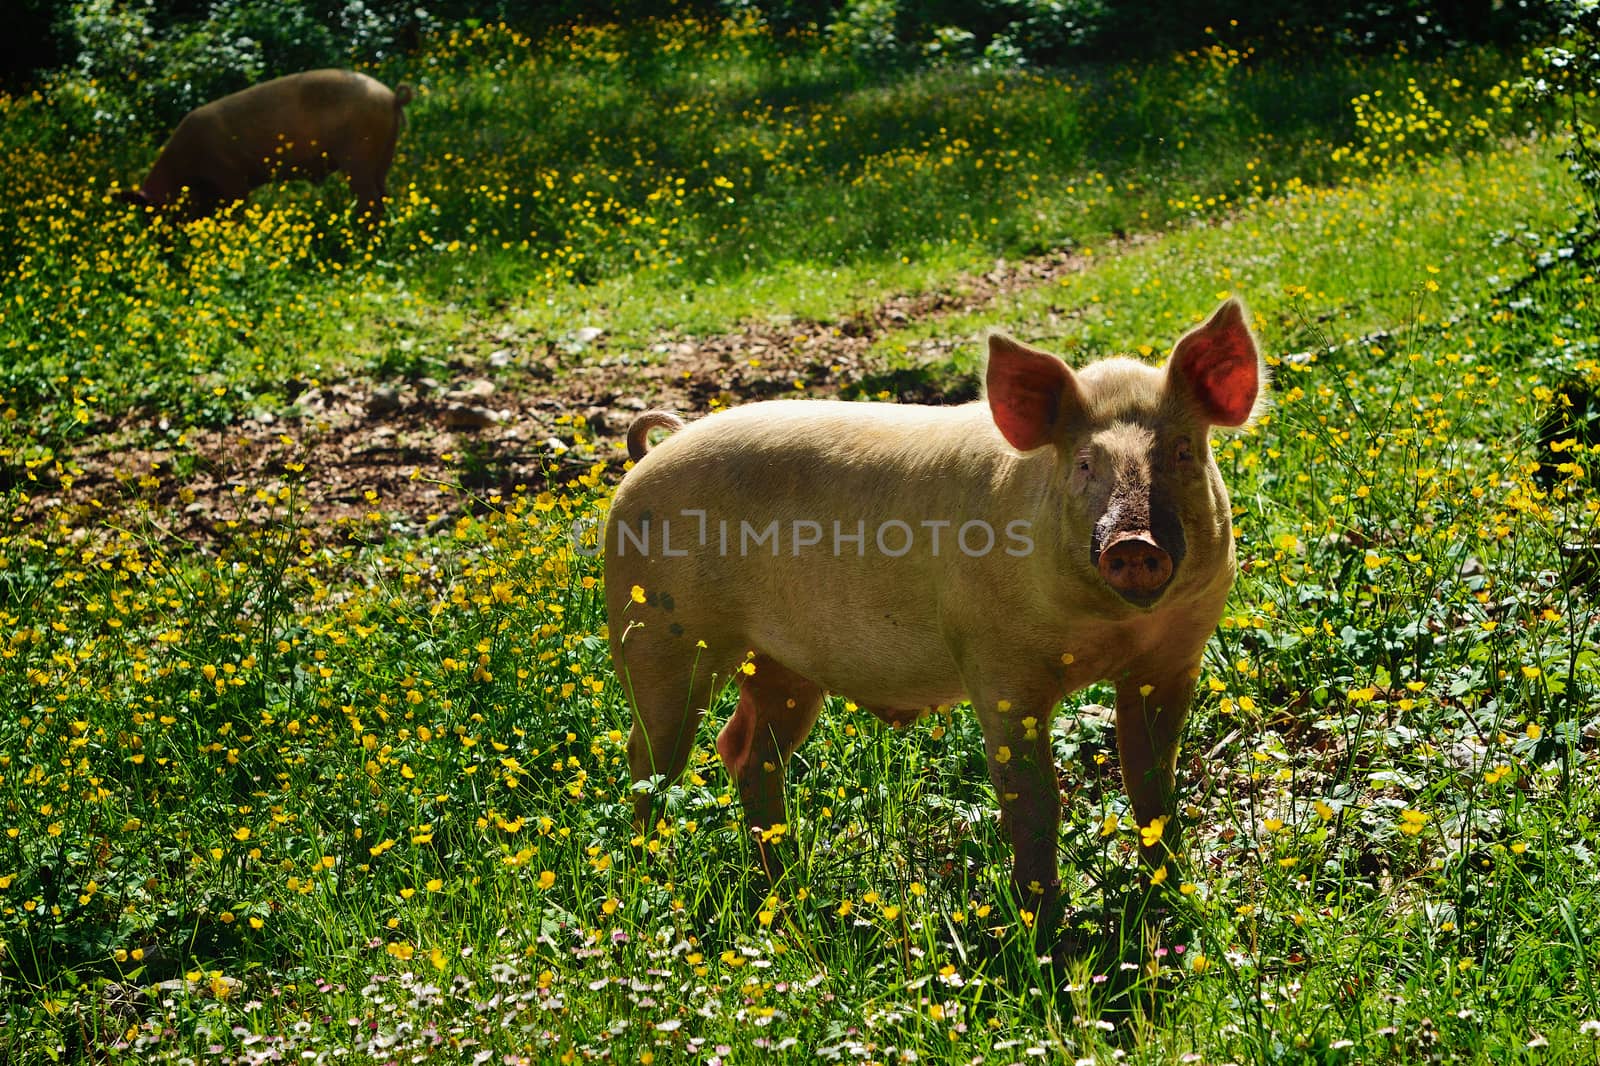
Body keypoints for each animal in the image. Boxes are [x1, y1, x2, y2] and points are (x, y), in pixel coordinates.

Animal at [123, 68, 412, 219]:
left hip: (358, 156)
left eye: (154, 213)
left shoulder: (231, 177)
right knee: (383, 194)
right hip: (384, 154)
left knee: (370, 199)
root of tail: (391, 97)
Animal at [604, 299, 1267, 928]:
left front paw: (1176, 896)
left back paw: (787, 885)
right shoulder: (998, 663)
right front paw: (1042, 929)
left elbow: (1152, 785)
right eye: (1084, 464)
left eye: (1182, 451)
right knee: (650, 757)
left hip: (780, 664)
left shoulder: (1173, 657)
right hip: (658, 635)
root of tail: (646, 460)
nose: (1134, 543)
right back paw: (652, 874)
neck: (1110, 626)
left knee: (746, 752)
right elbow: (1033, 800)